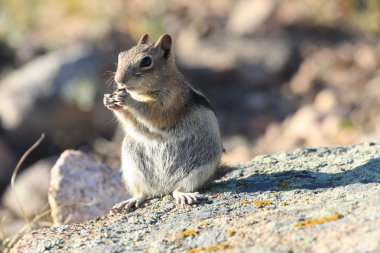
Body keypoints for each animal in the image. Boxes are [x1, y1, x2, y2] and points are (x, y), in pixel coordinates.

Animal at [104, 32, 223, 212]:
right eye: (121, 55)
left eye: (146, 61)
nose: (119, 80)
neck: (144, 93)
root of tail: (163, 188)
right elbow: (135, 126)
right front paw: (110, 101)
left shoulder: (171, 101)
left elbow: (154, 114)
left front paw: (128, 100)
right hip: (132, 169)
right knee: (143, 193)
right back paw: (130, 201)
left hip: (200, 169)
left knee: (179, 189)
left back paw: (184, 195)